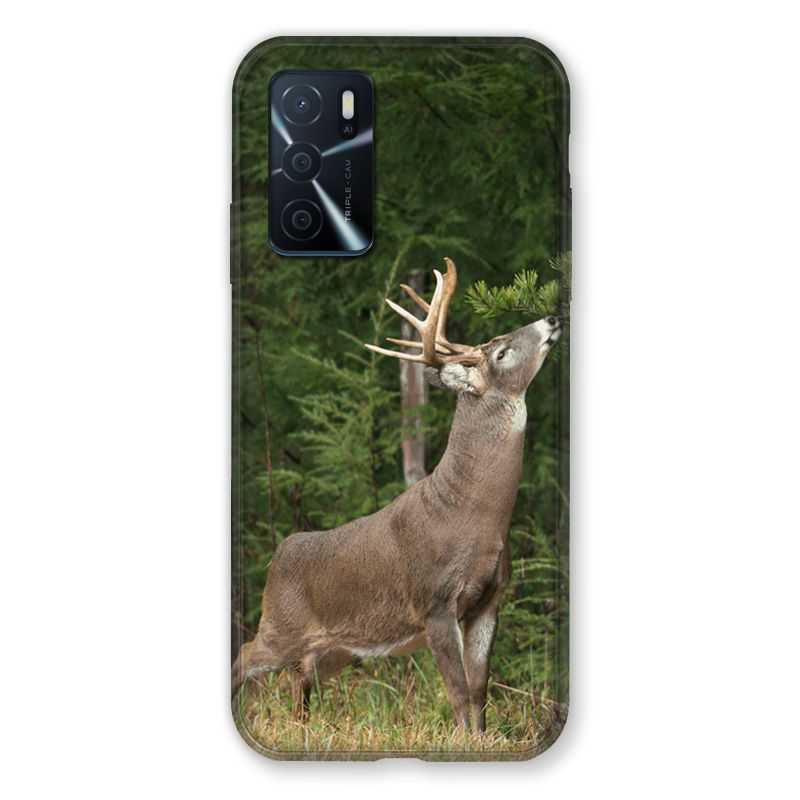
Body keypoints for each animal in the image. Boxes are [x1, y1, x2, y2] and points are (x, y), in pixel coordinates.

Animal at [232, 257, 561, 732]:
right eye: (501, 352)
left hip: (332, 650)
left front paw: (482, 739)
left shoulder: (490, 600)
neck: (474, 515)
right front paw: (462, 741)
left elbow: (479, 690)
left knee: (299, 684)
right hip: (280, 624)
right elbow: (457, 691)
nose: (552, 318)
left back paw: (303, 728)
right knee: (244, 656)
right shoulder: (435, 601)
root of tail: (278, 556)